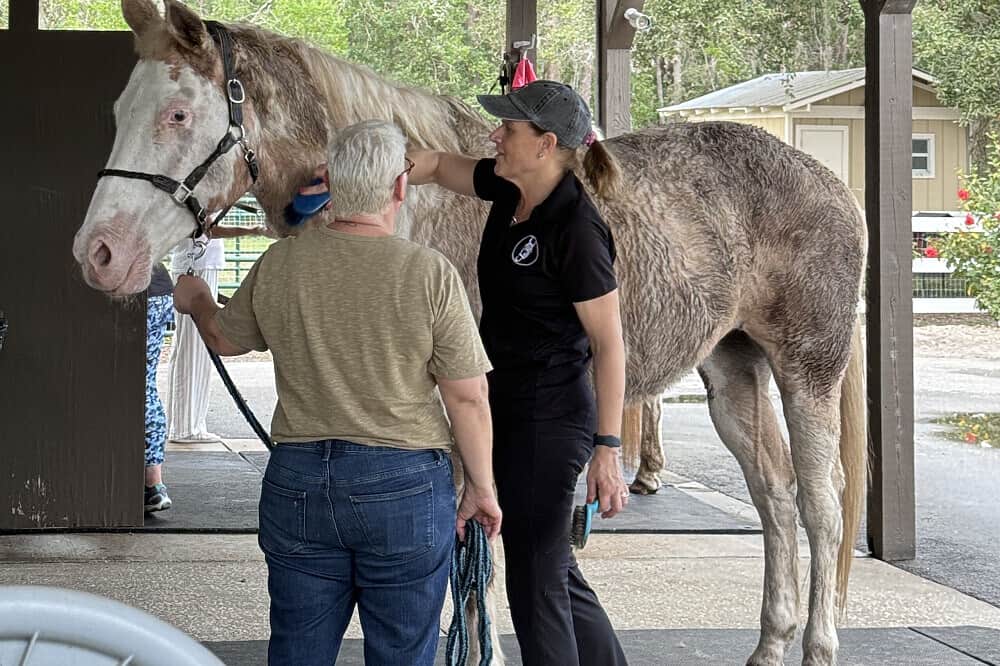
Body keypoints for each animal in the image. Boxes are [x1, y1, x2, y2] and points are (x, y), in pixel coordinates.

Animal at [72, 2, 867, 664]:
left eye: (178, 114)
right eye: (120, 109)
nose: (99, 253)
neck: (405, 209)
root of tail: (833, 184)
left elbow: (470, 569)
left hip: (807, 370)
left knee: (821, 505)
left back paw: (818, 646)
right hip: (733, 370)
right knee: (773, 497)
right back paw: (769, 646)